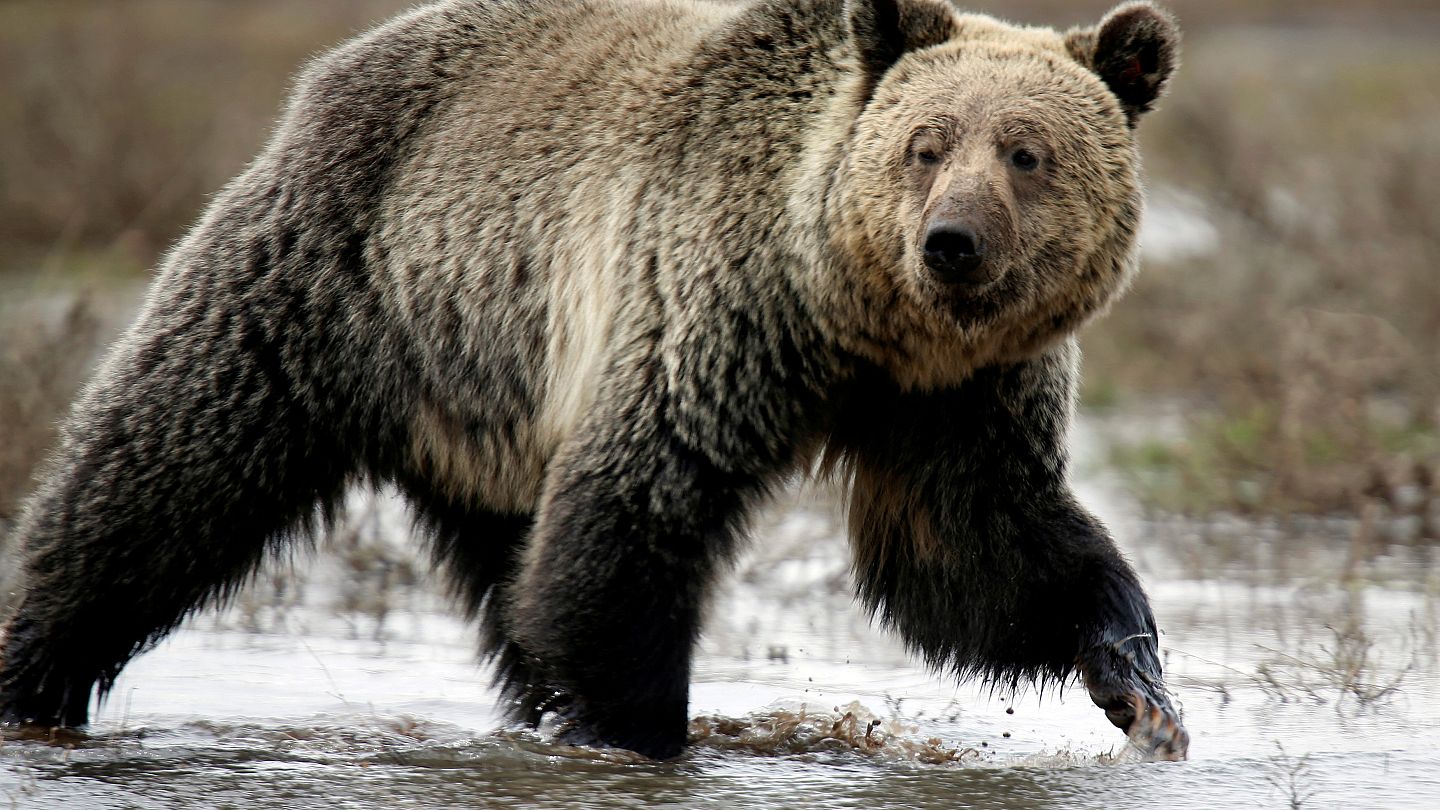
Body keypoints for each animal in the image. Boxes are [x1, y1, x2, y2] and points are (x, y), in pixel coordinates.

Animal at [0, 0, 1180, 755]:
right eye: (926, 144)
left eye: (1027, 152)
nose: (951, 244)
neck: (857, 320)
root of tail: (337, 67)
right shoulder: (710, 307)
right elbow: (634, 512)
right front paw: (637, 730)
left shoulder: (959, 396)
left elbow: (977, 549)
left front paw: (1137, 682)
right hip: (337, 279)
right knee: (160, 473)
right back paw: (34, 672)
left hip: (489, 399)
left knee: (512, 574)